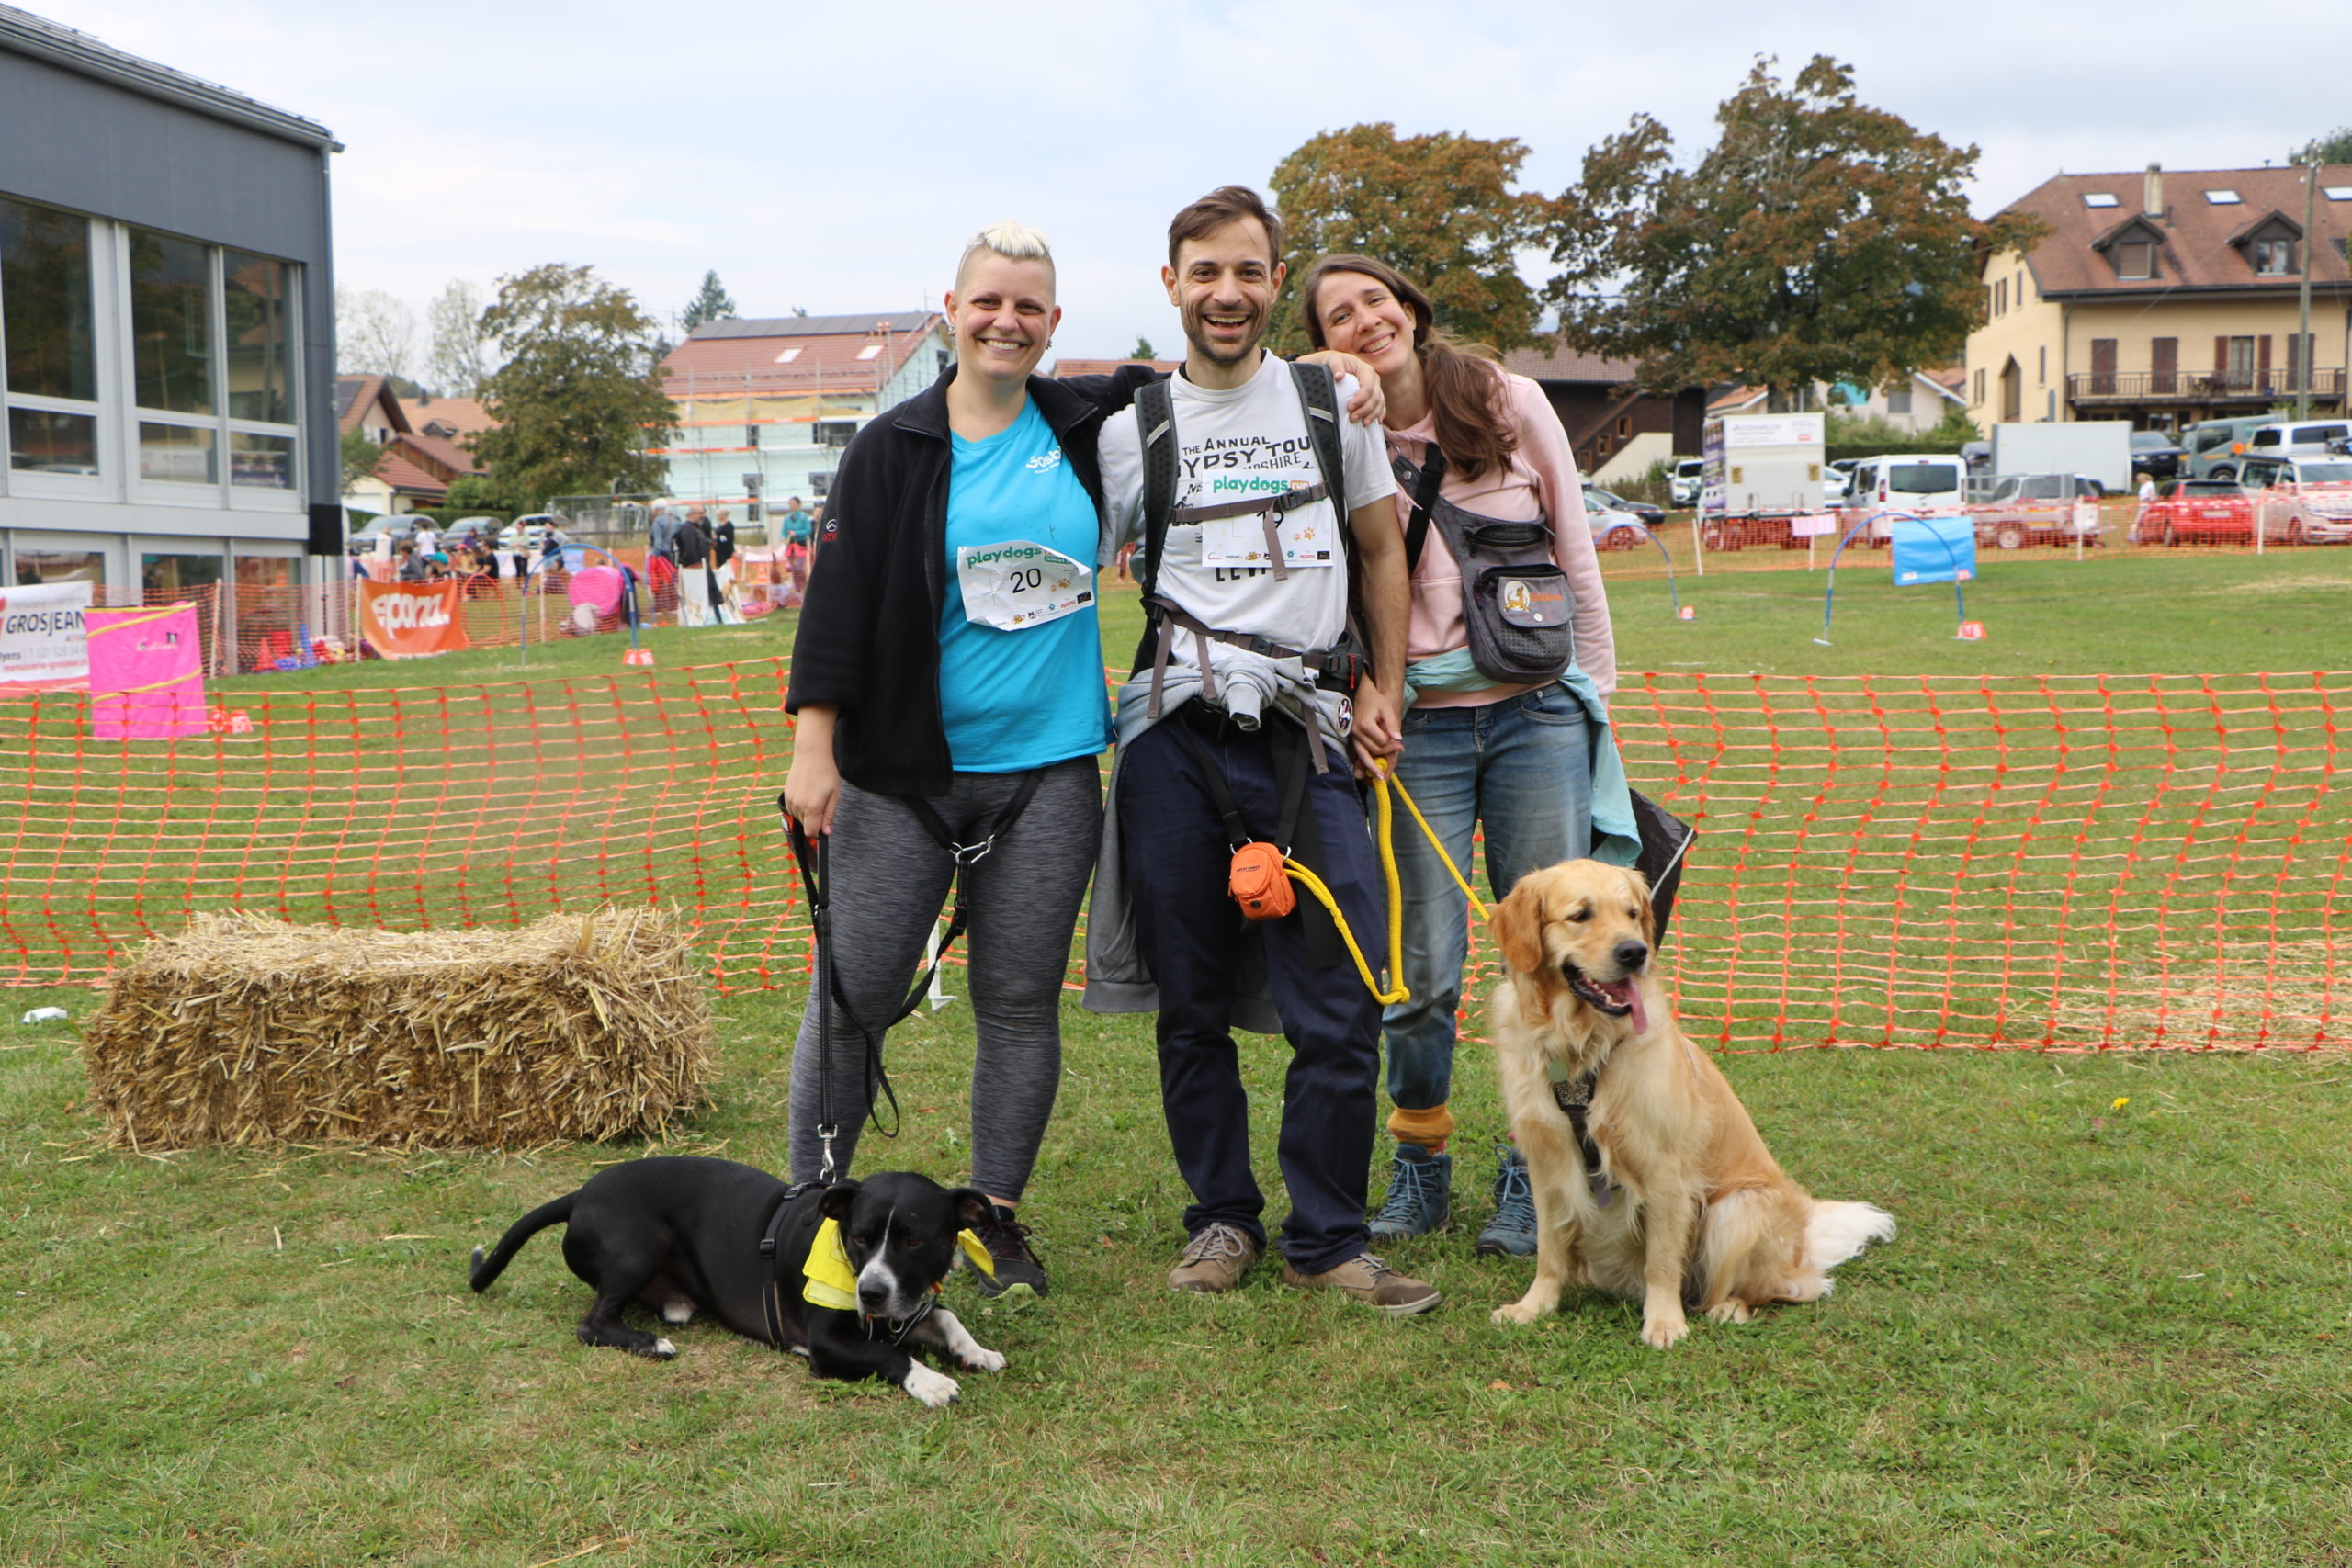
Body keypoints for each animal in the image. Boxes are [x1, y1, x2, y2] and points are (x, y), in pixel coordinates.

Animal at [469, 1157, 1006, 1406]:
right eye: (858, 1238)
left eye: (915, 1241)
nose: (870, 1293)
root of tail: (580, 1193)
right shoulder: (829, 1343)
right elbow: (889, 1355)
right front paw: (931, 1380)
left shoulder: (908, 1306)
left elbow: (947, 1318)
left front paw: (976, 1351)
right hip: (637, 1247)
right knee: (592, 1322)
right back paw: (650, 1342)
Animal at [1484, 861, 1895, 1349]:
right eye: (1580, 915)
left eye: (1631, 913)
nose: (1635, 952)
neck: (1584, 1048)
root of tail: (1802, 1248)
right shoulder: (1547, 1164)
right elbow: (1550, 1248)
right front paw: (1534, 1306)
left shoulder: (1665, 1169)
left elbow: (1661, 1259)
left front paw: (1664, 1323)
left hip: (1738, 1209)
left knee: (1790, 1288)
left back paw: (1728, 1307)